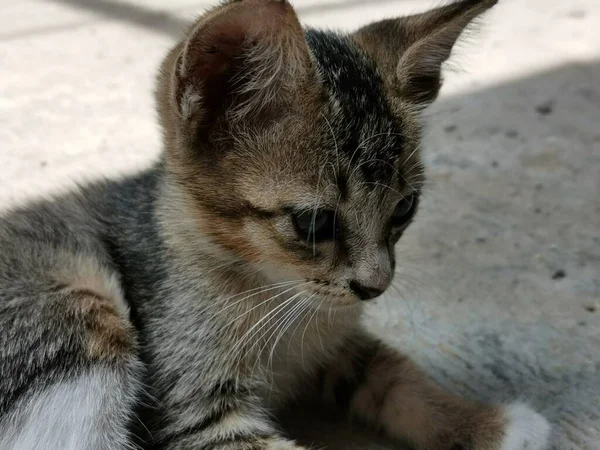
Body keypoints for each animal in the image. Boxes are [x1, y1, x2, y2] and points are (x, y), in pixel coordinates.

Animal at [0, 0, 552, 450]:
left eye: (404, 209)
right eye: (313, 222)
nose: (375, 286)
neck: (274, 290)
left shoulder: (338, 342)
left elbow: (391, 373)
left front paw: (482, 423)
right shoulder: (193, 406)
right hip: (86, 312)